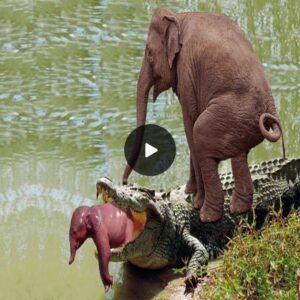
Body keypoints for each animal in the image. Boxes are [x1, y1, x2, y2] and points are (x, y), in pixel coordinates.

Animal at [121, 8, 284, 223]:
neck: (179, 17)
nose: (124, 182)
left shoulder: (187, 71)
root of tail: (269, 111)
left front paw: (195, 201)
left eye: (149, 54)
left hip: (227, 116)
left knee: (200, 136)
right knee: (238, 155)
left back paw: (207, 215)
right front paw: (190, 191)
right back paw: (238, 209)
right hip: (241, 123)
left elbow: (190, 123)